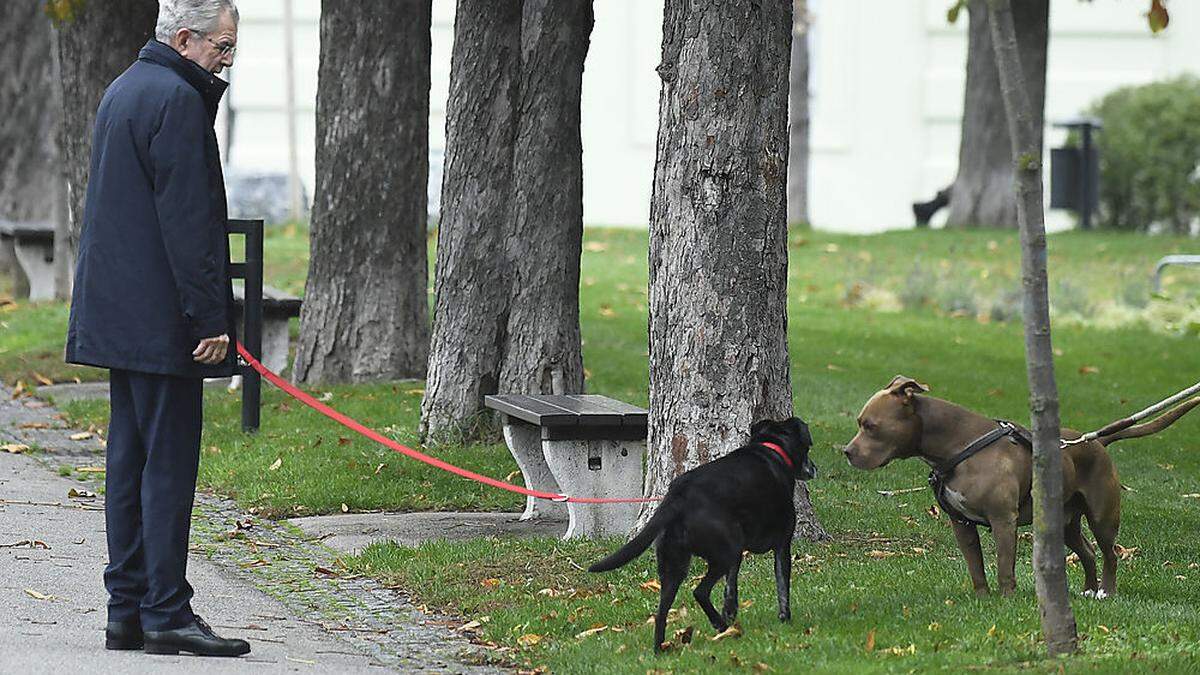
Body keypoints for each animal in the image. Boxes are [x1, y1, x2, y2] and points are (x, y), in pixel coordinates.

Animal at [588, 417, 816, 648]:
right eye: (807, 448)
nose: (814, 469)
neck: (773, 450)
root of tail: (678, 496)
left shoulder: (738, 558)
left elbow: (730, 590)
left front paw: (730, 613)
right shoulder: (782, 545)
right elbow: (782, 587)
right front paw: (785, 619)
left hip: (674, 565)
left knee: (661, 613)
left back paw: (663, 649)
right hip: (725, 552)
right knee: (699, 592)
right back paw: (720, 626)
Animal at [844, 374, 1200, 595]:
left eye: (870, 426)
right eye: (861, 423)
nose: (847, 452)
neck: (959, 447)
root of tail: (1097, 442)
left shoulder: (1004, 520)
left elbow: (1004, 565)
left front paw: (1006, 599)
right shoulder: (961, 524)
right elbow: (975, 567)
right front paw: (983, 599)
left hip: (1103, 516)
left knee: (1109, 553)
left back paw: (1106, 592)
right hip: (1065, 522)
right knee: (1087, 552)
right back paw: (1088, 589)